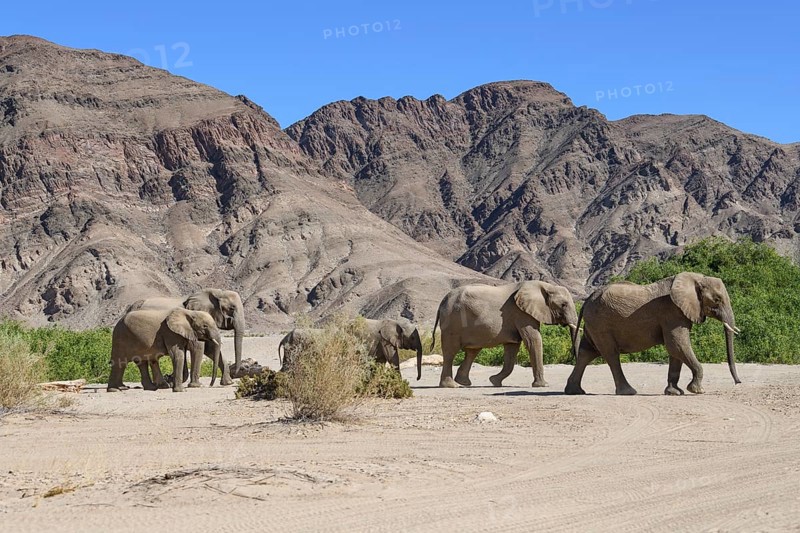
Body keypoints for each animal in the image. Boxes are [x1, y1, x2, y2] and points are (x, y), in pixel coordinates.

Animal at [431, 281, 579, 388]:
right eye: (564, 305)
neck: (547, 286)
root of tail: (443, 300)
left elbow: (512, 348)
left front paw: (494, 382)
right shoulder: (522, 314)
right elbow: (533, 340)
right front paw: (543, 385)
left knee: (472, 351)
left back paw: (464, 383)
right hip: (452, 322)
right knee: (451, 351)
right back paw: (452, 385)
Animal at [565, 272, 742, 396]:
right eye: (717, 300)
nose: (738, 382)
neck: (696, 278)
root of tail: (587, 300)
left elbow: (676, 350)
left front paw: (674, 393)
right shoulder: (672, 312)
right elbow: (677, 345)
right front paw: (697, 391)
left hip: (593, 324)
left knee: (586, 353)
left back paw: (574, 391)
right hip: (601, 324)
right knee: (611, 354)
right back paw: (629, 392)